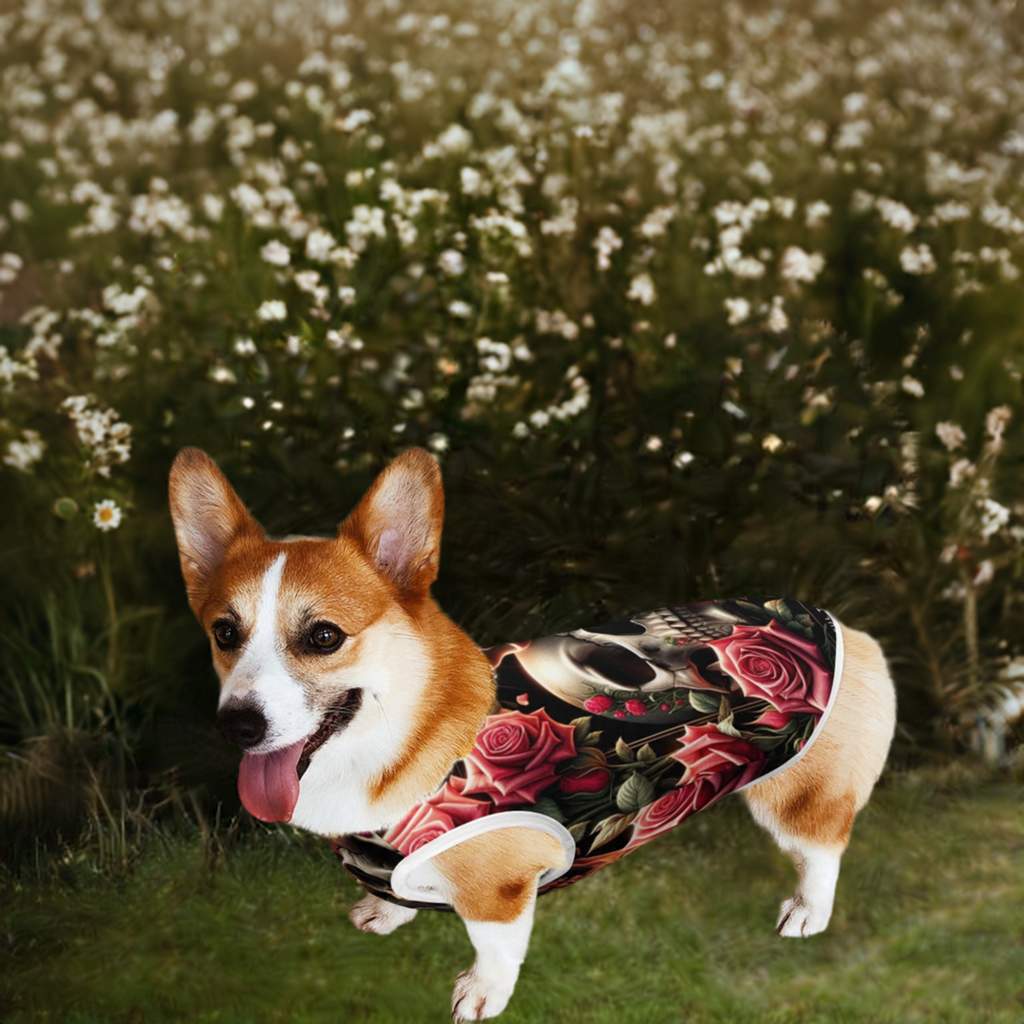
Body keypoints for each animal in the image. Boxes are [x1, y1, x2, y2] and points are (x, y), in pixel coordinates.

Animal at [167, 444, 897, 1019]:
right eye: (224, 633)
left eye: (323, 637)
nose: (237, 725)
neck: (404, 743)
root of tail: (840, 624)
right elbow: (393, 892)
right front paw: (387, 914)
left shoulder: (500, 891)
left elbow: (495, 948)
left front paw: (481, 996)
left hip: (794, 797)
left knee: (823, 849)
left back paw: (808, 912)